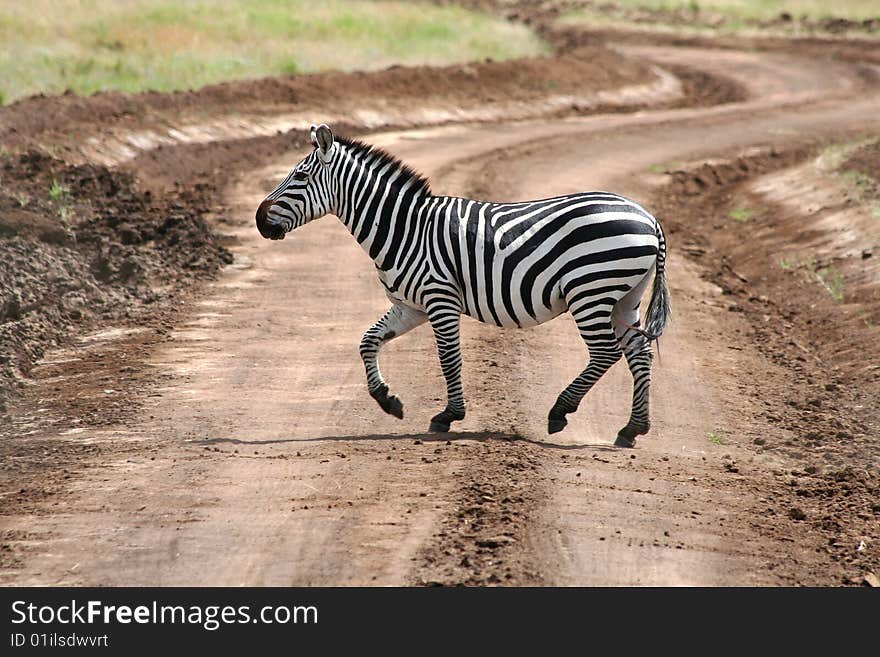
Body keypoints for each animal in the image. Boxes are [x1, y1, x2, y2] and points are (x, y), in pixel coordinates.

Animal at [258, 124, 672, 446]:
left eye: (300, 178)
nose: (260, 222)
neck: (405, 230)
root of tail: (649, 218)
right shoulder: (410, 306)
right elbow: (368, 341)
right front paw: (387, 400)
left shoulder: (439, 298)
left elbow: (449, 359)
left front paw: (448, 416)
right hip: (624, 296)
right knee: (638, 352)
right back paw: (633, 428)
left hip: (590, 289)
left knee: (606, 352)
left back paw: (561, 411)